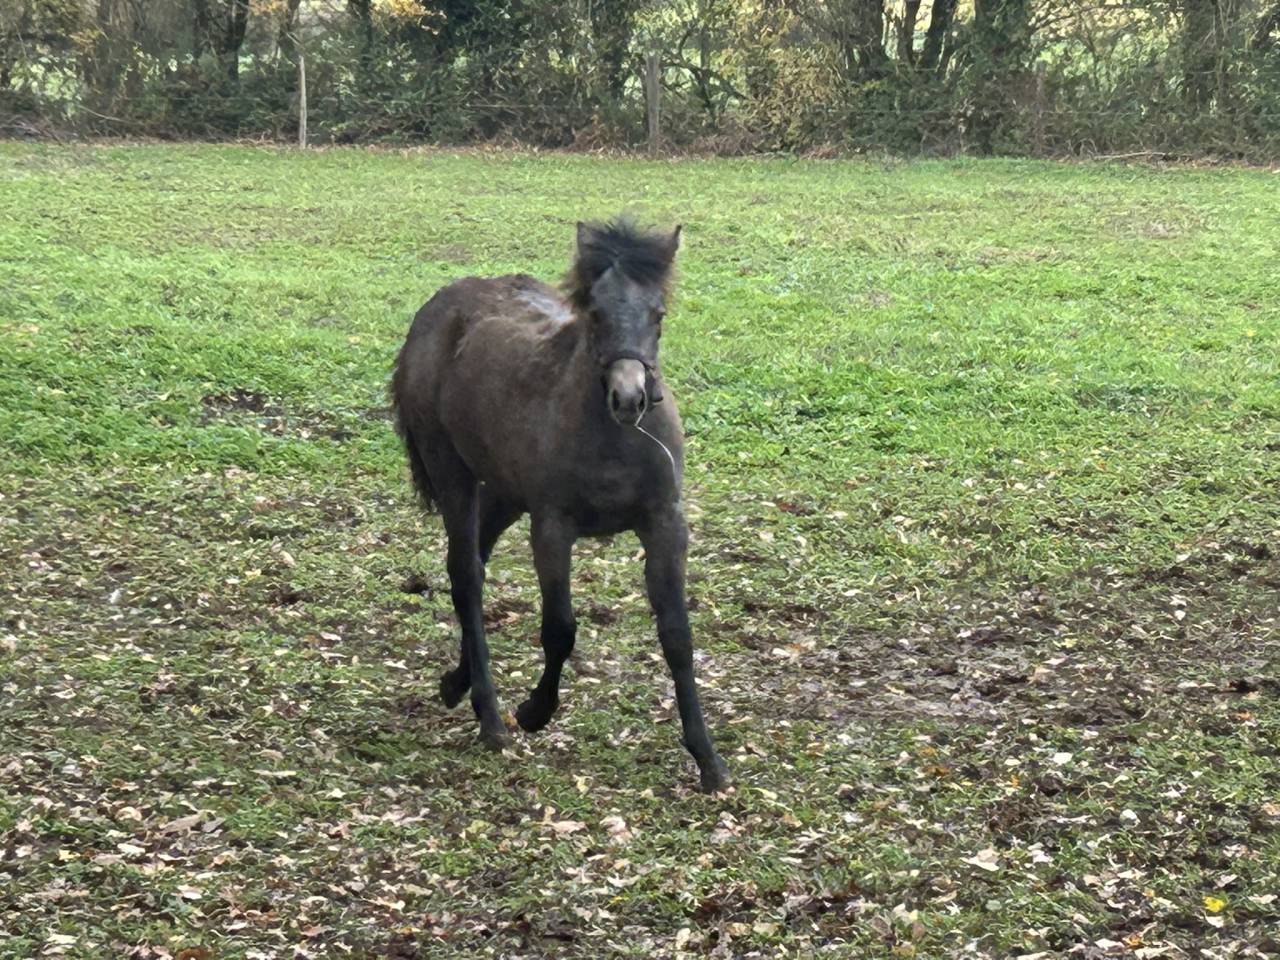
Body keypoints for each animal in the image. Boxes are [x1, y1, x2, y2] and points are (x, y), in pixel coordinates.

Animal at [390, 217, 729, 793]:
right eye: (594, 313)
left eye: (659, 314)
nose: (629, 398)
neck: (613, 438)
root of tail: (438, 306)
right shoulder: (552, 527)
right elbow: (560, 628)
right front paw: (534, 711)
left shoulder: (665, 524)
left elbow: (677, 636)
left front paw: (708, 759)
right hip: (454, 473)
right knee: (466, 574)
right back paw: (490, 716)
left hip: (505, 491)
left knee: (474, 562)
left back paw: (456, 682)